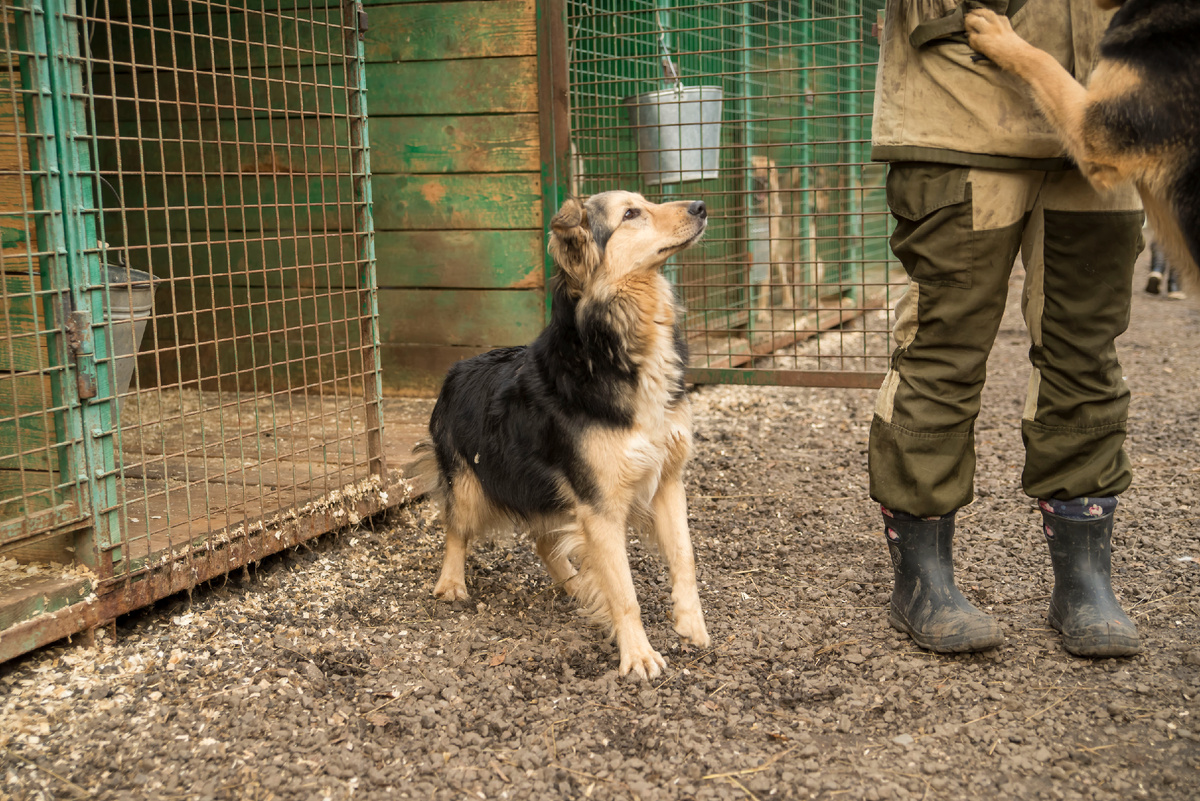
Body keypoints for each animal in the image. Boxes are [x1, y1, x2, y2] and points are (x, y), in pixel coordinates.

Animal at [412, 190, 710, 681]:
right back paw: (451, 582)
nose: (702, 206)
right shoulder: (599, 504)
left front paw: (690, 624)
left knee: (543, 540)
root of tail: (456, 368)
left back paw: (575, 582)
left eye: (645, 201)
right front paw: (638, 655)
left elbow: (684, 557)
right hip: (471, 482)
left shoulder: (668, 478)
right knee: (455, 526)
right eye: (631, 214)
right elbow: (624, 591)